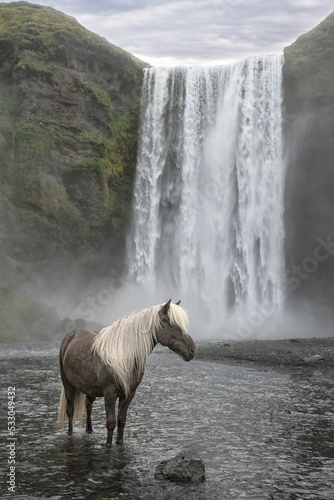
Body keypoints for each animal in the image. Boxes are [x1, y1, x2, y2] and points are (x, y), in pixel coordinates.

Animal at [58, 298, 196, 448]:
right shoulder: (110, 394)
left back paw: (89, 430)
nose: (192, 350)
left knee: (88, 406)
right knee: (70, 410)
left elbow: (121, 420)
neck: (124, 356)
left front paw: (119, 442)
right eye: (172, 324)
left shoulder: (129, 393)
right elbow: (111, 422)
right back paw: (70, 433)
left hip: (90, 390)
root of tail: (71, 335)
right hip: (68, 386)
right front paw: (108, 445)